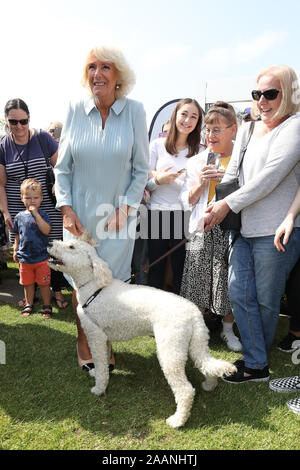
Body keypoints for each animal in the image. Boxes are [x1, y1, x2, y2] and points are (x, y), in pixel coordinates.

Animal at [48, 237, 237, 428]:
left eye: (71, 247)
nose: (49, 244)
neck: (94, 287)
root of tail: (194, 313)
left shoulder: (96, 336)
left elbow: (100, 364)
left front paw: (99, 388)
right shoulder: (104, 337)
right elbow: (104, 361)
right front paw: (101, 373)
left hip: (170, 350)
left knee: (186, 390)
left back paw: (177, 420)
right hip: (196, 342)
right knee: (207, 364)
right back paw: (209, 385)